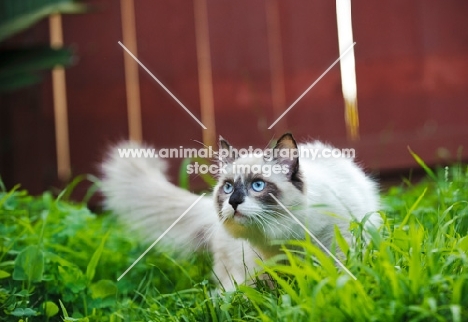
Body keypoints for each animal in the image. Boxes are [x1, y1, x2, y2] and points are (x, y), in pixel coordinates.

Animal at [101, 133, 380, 290]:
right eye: (228, 188)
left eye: (257, 185)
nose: (233, 202)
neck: (285, 239)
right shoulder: (265, 267)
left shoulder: (337, 246)